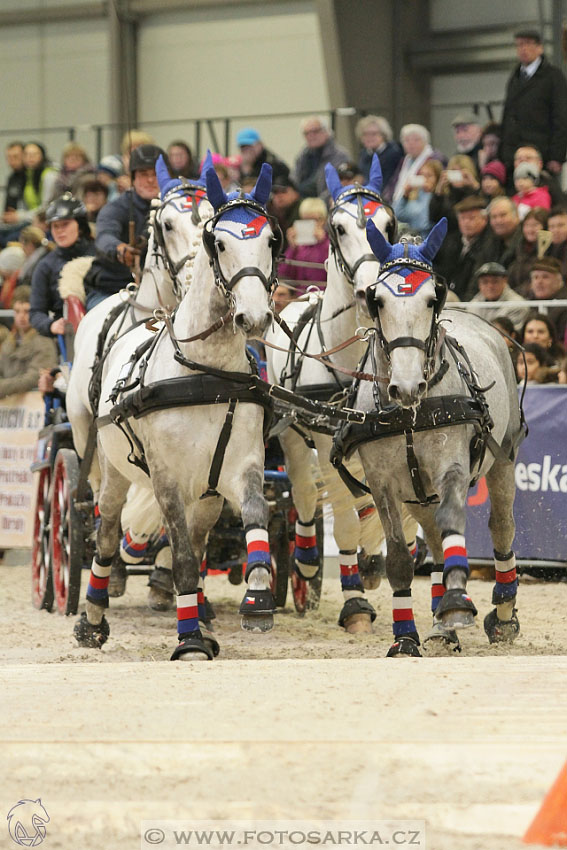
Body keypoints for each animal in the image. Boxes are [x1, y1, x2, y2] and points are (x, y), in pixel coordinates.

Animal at [71, 164, 282, 656]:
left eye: (271, 240)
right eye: (218, 243)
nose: (255, 317)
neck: (205, 373)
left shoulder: (241, 467)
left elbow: (254, 519)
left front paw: (257, 599)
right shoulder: (165, 477)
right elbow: (184, 558)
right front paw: (190, 640)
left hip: (203, 494)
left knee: (199, 539)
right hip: (110, 468)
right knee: (105, 535)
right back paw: (93, 616)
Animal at [266, 157, 418, 628]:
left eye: (388, 223)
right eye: (337, 228)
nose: (369, 290)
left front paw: (376, 562)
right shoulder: (321, 437)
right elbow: (346, 519)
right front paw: (354, 602)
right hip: (294, 438)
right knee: (303, 493)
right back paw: (308, 561)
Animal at [330, 219, 524, 656]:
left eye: (432, 299)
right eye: (378, 301)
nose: (406, 386)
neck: (408, 413)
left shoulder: (450, 469)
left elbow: (454, 525)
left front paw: (456, 602)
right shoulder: (383, 483)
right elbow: (400, 559)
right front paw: (406, 637)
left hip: (501, 460)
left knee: (500, 527)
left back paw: (503, 613)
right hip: (418, 495)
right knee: (434, 542)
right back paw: (441, 627)